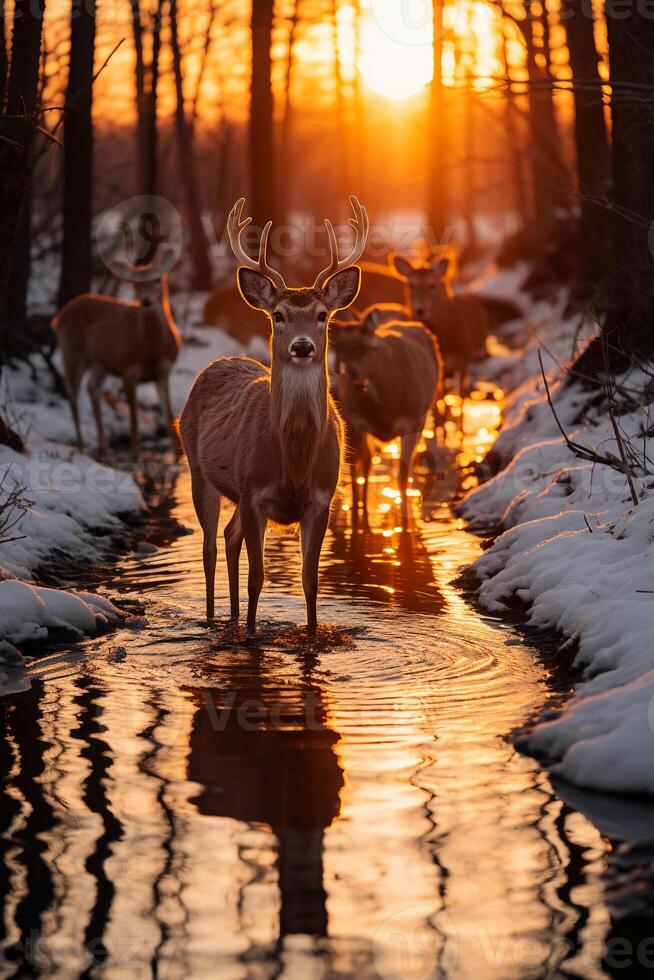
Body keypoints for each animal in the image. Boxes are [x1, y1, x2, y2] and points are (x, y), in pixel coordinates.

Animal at [53, 262, 182, 458]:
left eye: (157, 279)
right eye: (135, 283)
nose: (145, 301)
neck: (151, 351)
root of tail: (58, 318)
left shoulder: (164, 372)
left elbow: (168, 414)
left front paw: (176, 457)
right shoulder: (127, 371)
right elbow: (134, 418)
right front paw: (135, 457)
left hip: (100, 364)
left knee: (92, 388)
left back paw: (104, 445)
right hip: (72, 352)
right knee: (73, 395)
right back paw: (82, 447)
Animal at [179, 195, 368, 632]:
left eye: (322, 315)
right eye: (278, 315)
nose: (302, 346)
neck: (293, 463)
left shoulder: (322, 499)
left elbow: (310, 581)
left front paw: (311, 632)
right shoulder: (253, 493)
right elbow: (258, 579)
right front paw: (251, 632)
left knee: (228, 537)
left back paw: (230, 618)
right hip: (198, 469)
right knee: (209, 548)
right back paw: (214, 619)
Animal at [330, 312, 444, 520]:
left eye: (370, 348)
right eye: (340, 350)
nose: (357, 380)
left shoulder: (412, 420)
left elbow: (403, 471)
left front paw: (404, 513)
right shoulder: (353, 421)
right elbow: (356, 465)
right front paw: (356, 509)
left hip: (423, 414)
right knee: (367, 460)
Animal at [390, 253, 486, 390]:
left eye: (432, 285)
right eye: (411, 285)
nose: (420, 310)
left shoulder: (464, 357)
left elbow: (461, 391)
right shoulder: (441, 366)